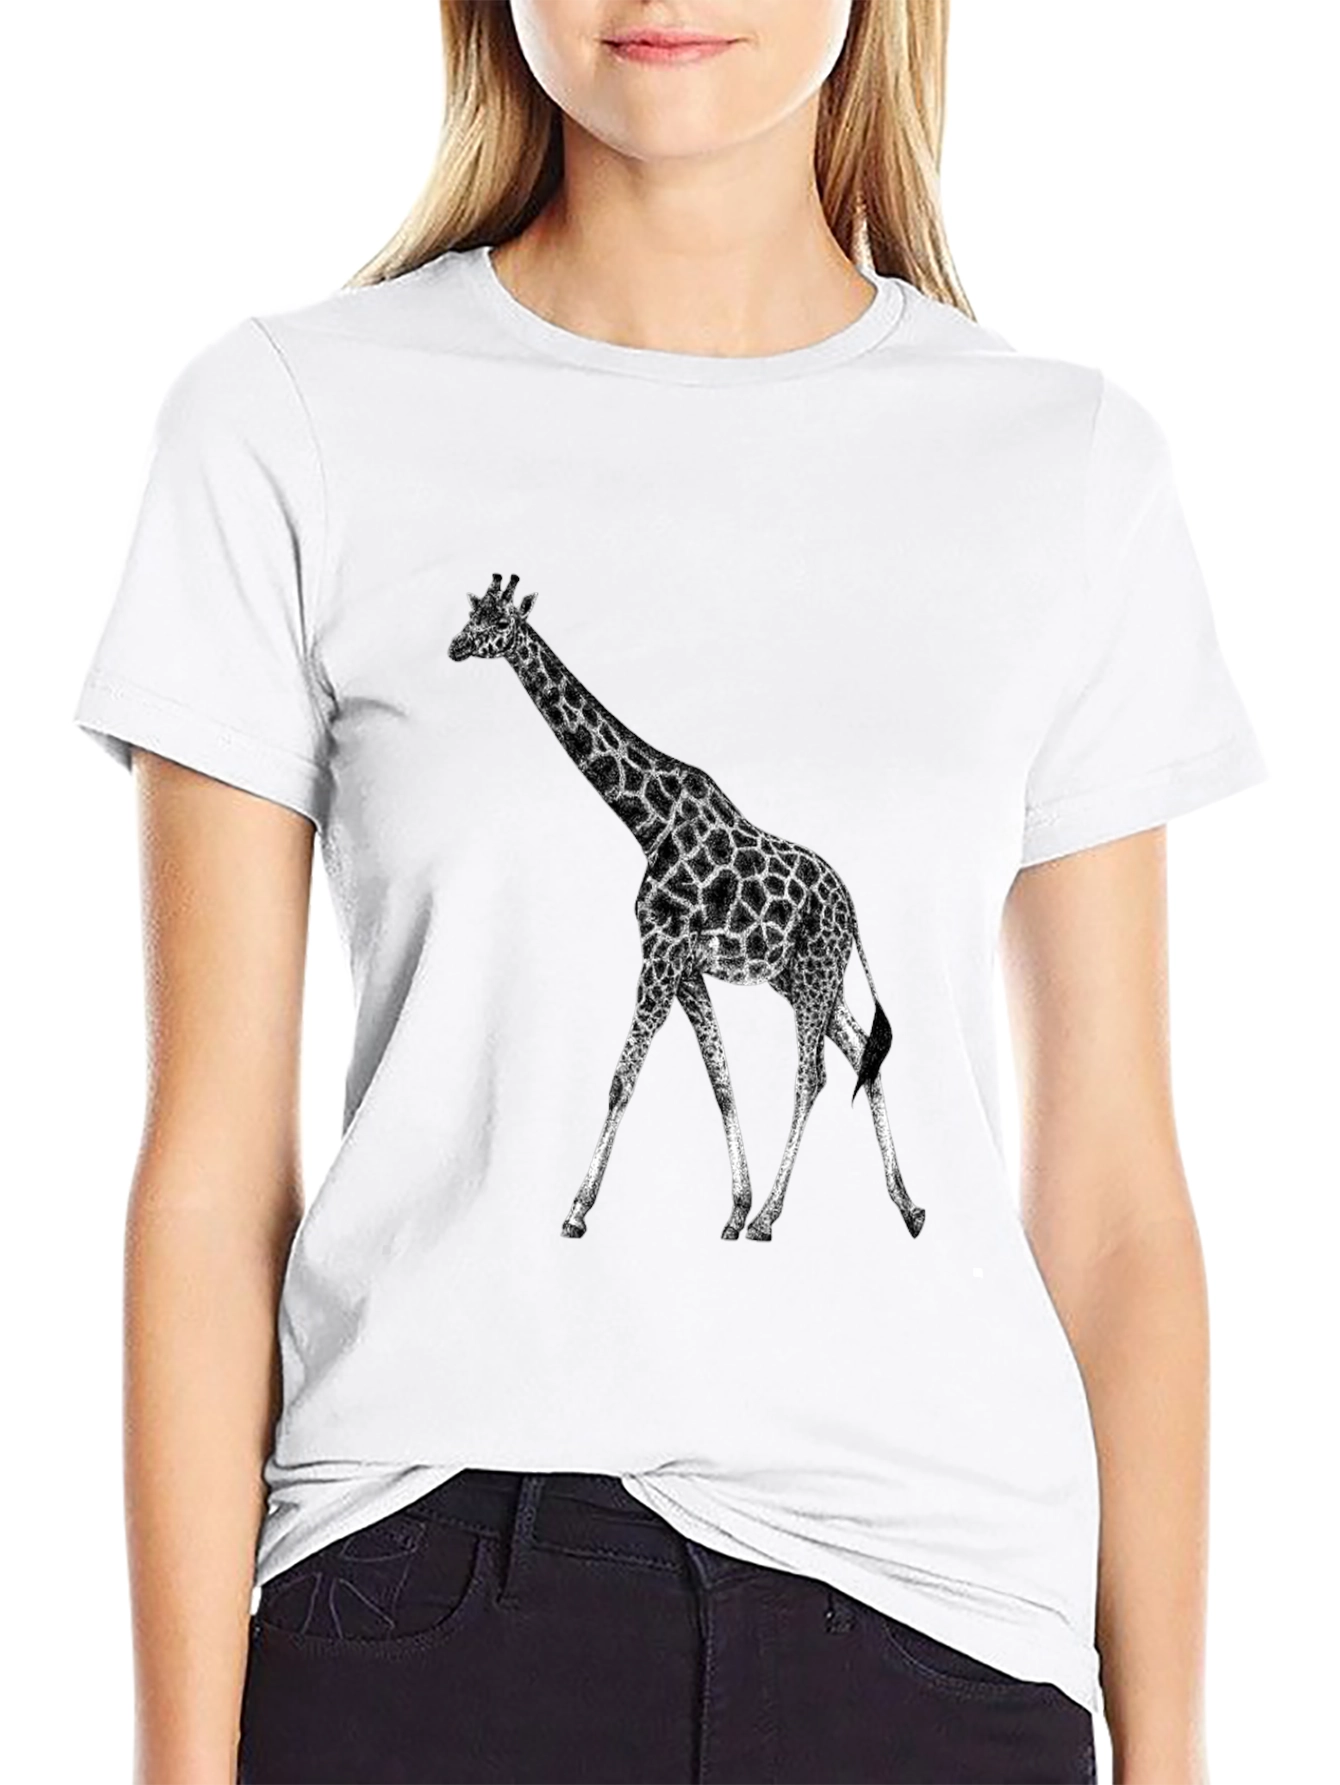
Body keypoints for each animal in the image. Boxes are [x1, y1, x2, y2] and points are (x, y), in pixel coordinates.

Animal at [448, 570, 926, 1245]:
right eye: (473, 614)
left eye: (499, 623)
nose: (455, 647)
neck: (648, 822)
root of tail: (853, 908)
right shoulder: (685, 967)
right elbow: (720, 1079)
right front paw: (733, 1208)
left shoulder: (661, 955)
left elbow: (622, 1079)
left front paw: (577, 1211)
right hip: (805, 978)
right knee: (863, 1053)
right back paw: (907, 1207)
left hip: (813, 977)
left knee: (814, 1075)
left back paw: (773, 1218)